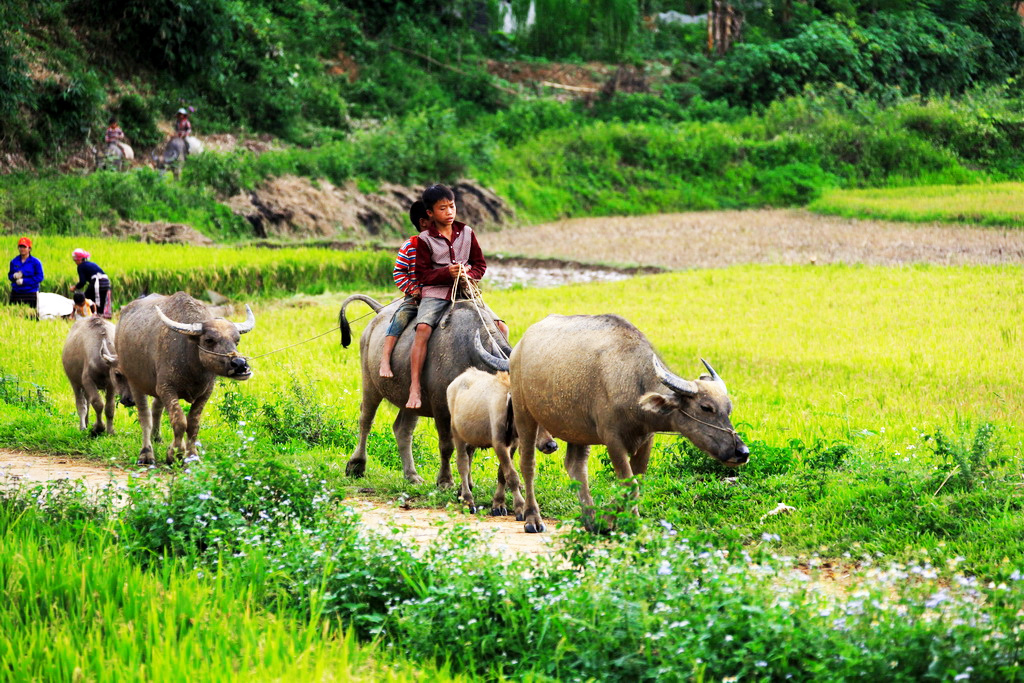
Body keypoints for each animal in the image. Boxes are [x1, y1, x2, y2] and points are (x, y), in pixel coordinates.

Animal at [113, 294, 252, 464]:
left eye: (236, 340)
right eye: (209, 340)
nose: (240, 364)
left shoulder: (205, 393)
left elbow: (193, 424)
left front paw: (192, 455)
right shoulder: (167, 388)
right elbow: (179, 421)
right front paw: (175, 454)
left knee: (156, 409)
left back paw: (156, 438)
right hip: (135, 382)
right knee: (145, 417)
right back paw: (146, 454)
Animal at [335, 292, 512, 485]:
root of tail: (379, 311)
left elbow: (469, 448)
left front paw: (467, 484)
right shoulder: (441, 408)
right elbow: (446, 445)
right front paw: (445, 481)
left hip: (411, 400)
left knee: (402, 430)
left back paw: (411, 475)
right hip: (370, 382)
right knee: (366, 419)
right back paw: (356, 465)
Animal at [448, 368, 561, 518]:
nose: (551, 445)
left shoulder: (513, 445)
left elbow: (502, 474)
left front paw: (498, 504)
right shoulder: (499, 444)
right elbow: (512, 477)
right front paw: (520, 507)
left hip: (472, 438)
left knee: (469, 457)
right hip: (457, 434)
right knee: (462, 464)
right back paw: (468, 500)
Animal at [475, 315, 749, 532]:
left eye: (728, 408)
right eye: (706, 407)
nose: (742, 452)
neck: (632, 380)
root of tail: (518, 350)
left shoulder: (646, 439)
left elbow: (635, 482)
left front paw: (611, 519)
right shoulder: (613, 439)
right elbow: (628, 482)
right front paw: (630, 523)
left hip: (578, 431)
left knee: (575, 467)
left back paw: (589, 518)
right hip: (525, 414)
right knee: (527, 465)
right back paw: (532, 518)